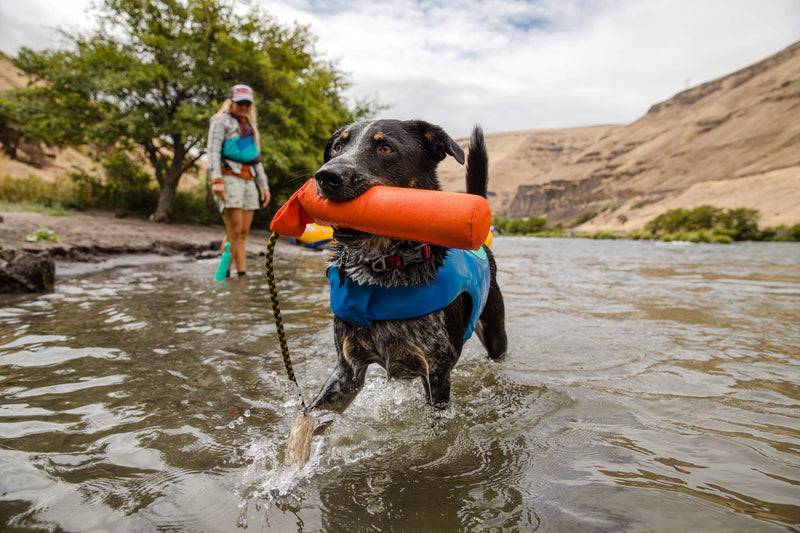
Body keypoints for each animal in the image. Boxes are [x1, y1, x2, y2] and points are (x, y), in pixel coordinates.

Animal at [286, 119, 506, 466]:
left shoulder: (437, 373)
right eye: (338, 147)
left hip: (496, 336)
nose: (327, 176)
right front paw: (286, 470)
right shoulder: (347, 371)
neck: (384, 269)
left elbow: (438, 433)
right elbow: (304, 420)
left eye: (386, 148)